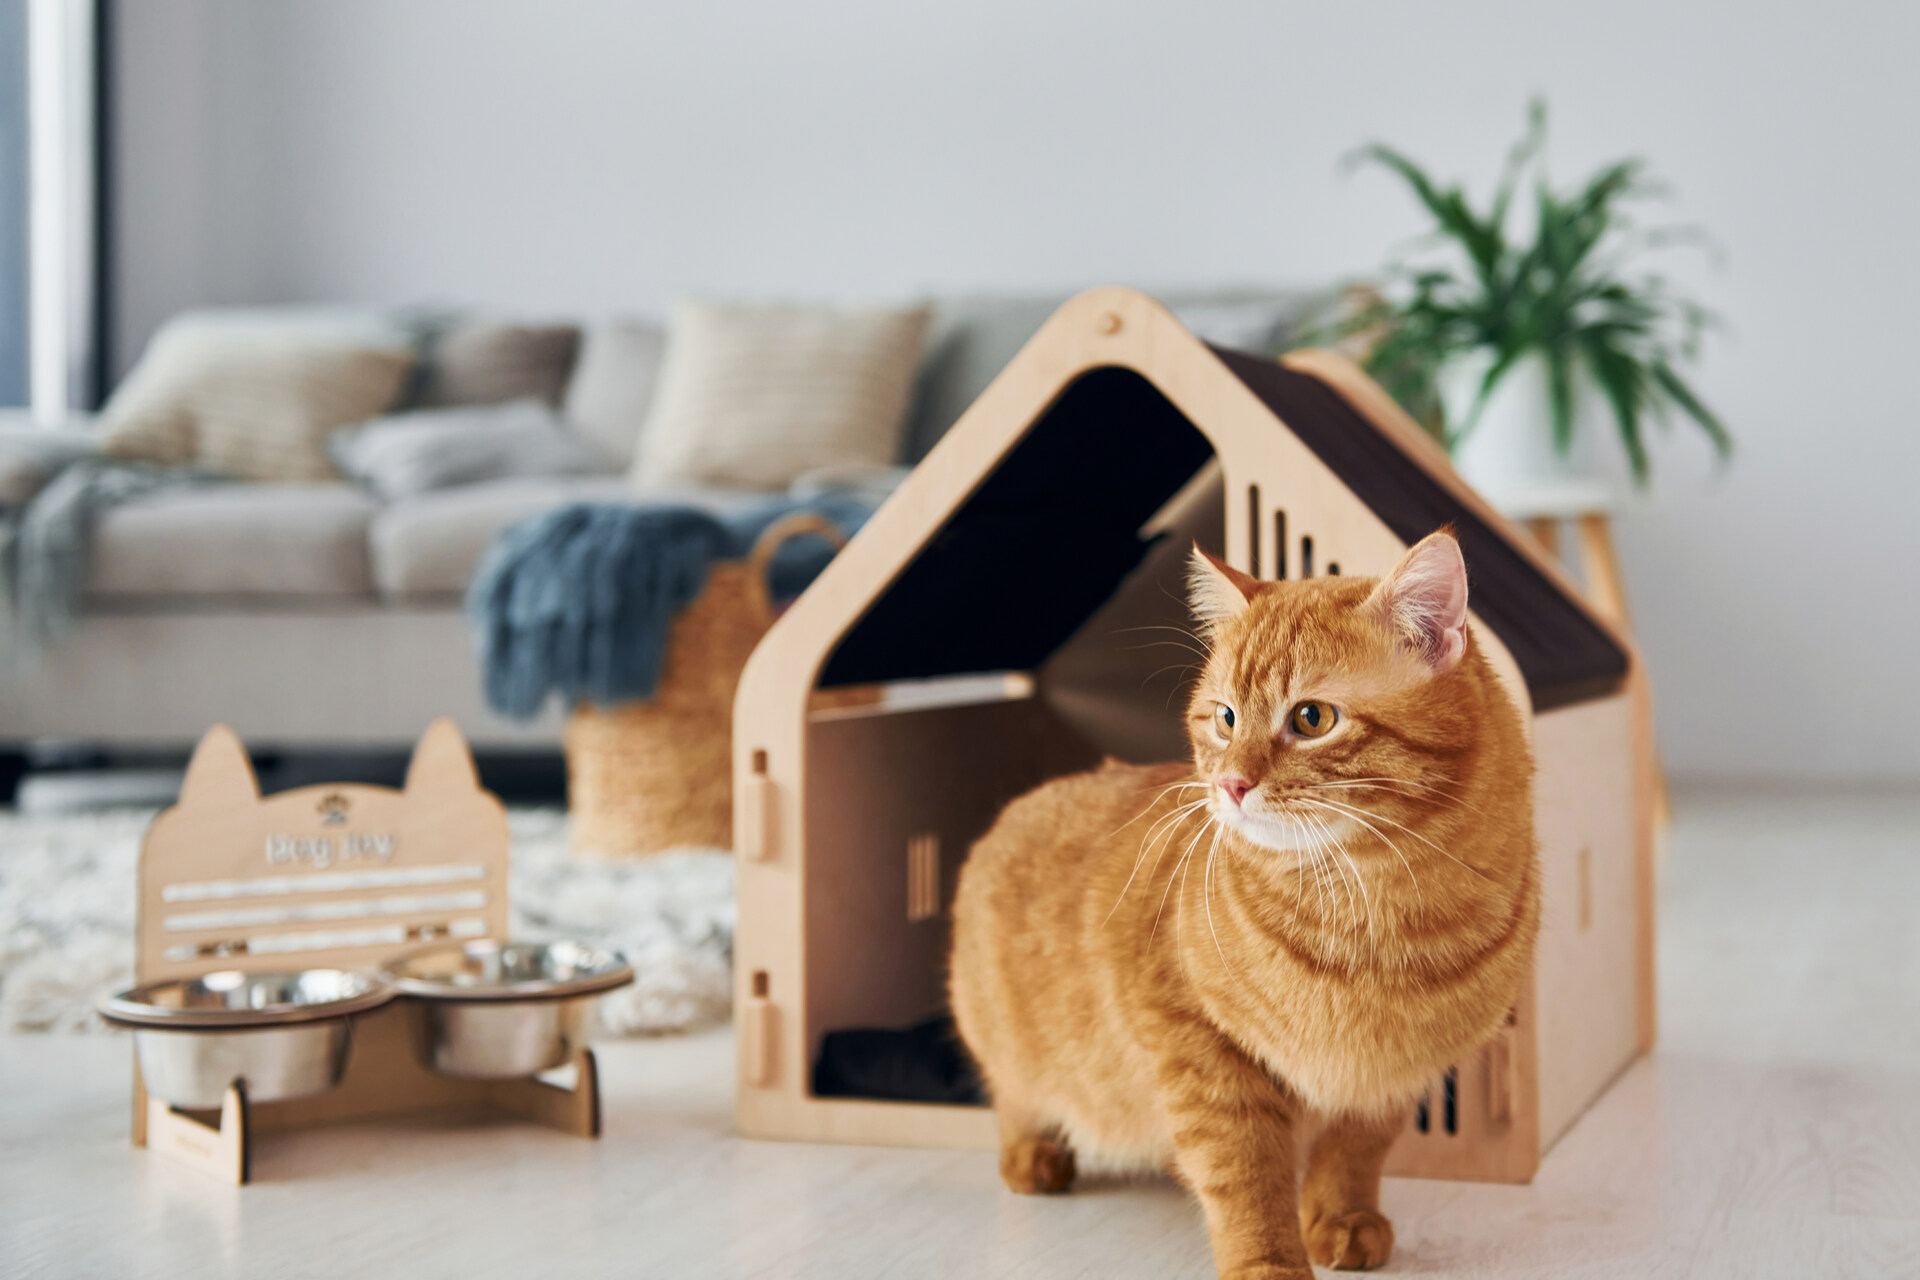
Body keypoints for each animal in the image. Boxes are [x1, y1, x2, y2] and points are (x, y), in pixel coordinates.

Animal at [952, 529, 1536, 1280]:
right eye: (1225, 718)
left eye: (1312, 718)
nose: (1230, 784)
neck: (1375, 910)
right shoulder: (1198, 1047)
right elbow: (1245, 1172)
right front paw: (1268, 1263)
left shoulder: (1391, 1076)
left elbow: (1353, 1151)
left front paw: (1341, 1220)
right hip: (1004, 1041)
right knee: (1014, 1096)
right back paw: (1033, 1155)